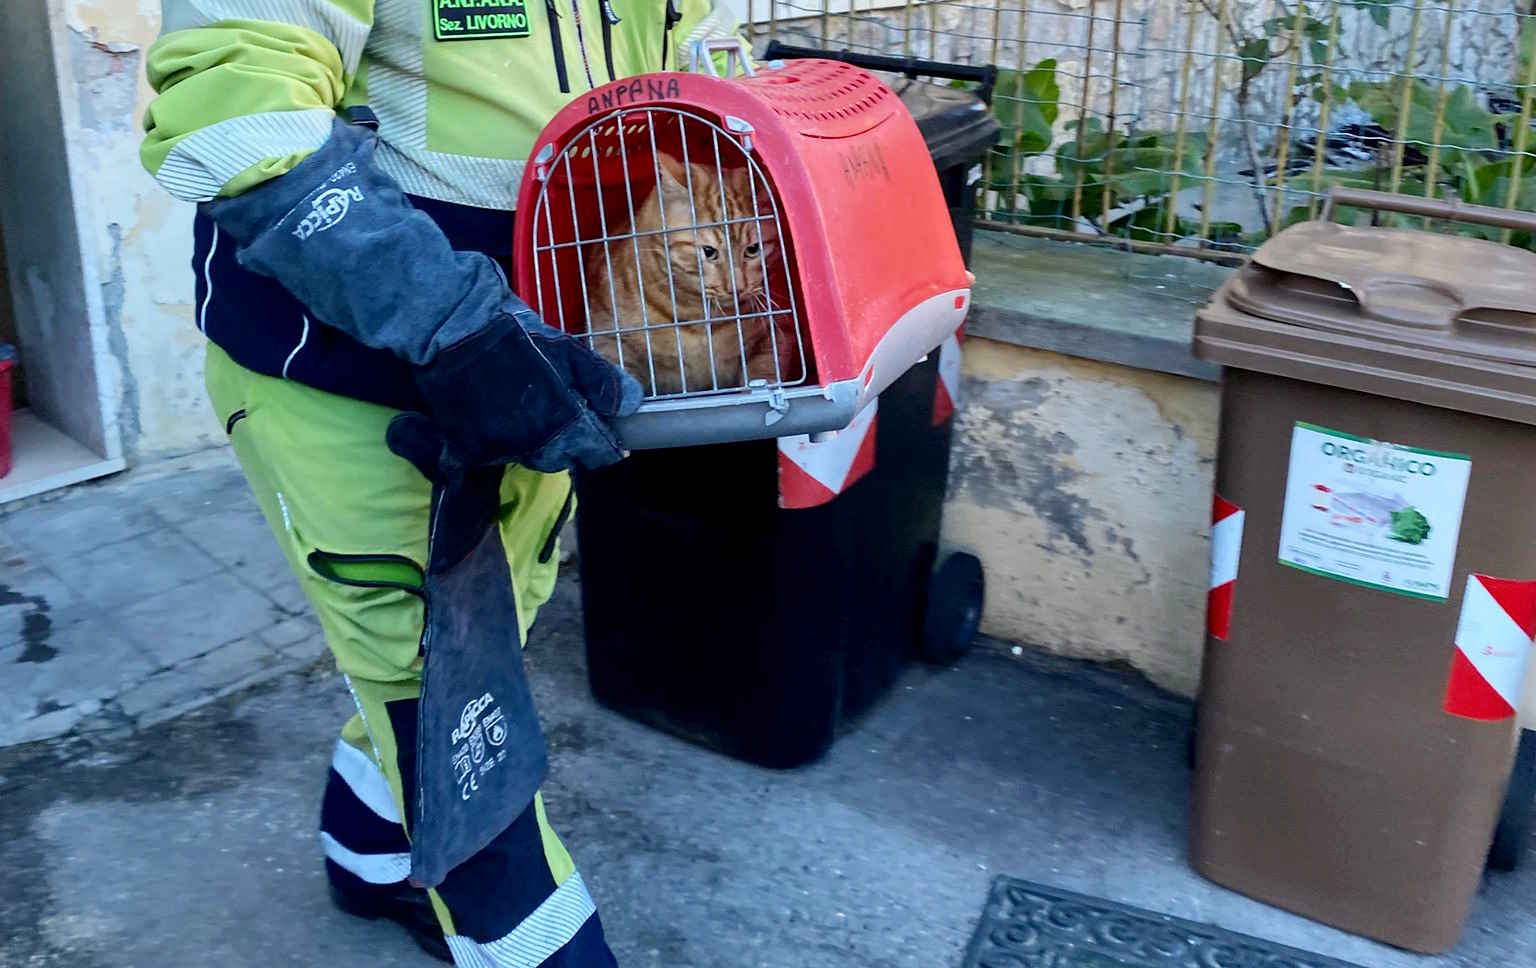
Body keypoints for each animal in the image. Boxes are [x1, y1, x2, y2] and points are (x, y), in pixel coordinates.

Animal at [583, 152, 798, 393]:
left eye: (753, 250)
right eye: (709, 251)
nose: (736, 288)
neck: (698, 316)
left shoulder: (777, 334)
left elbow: (763, 373)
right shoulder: (608, 338)